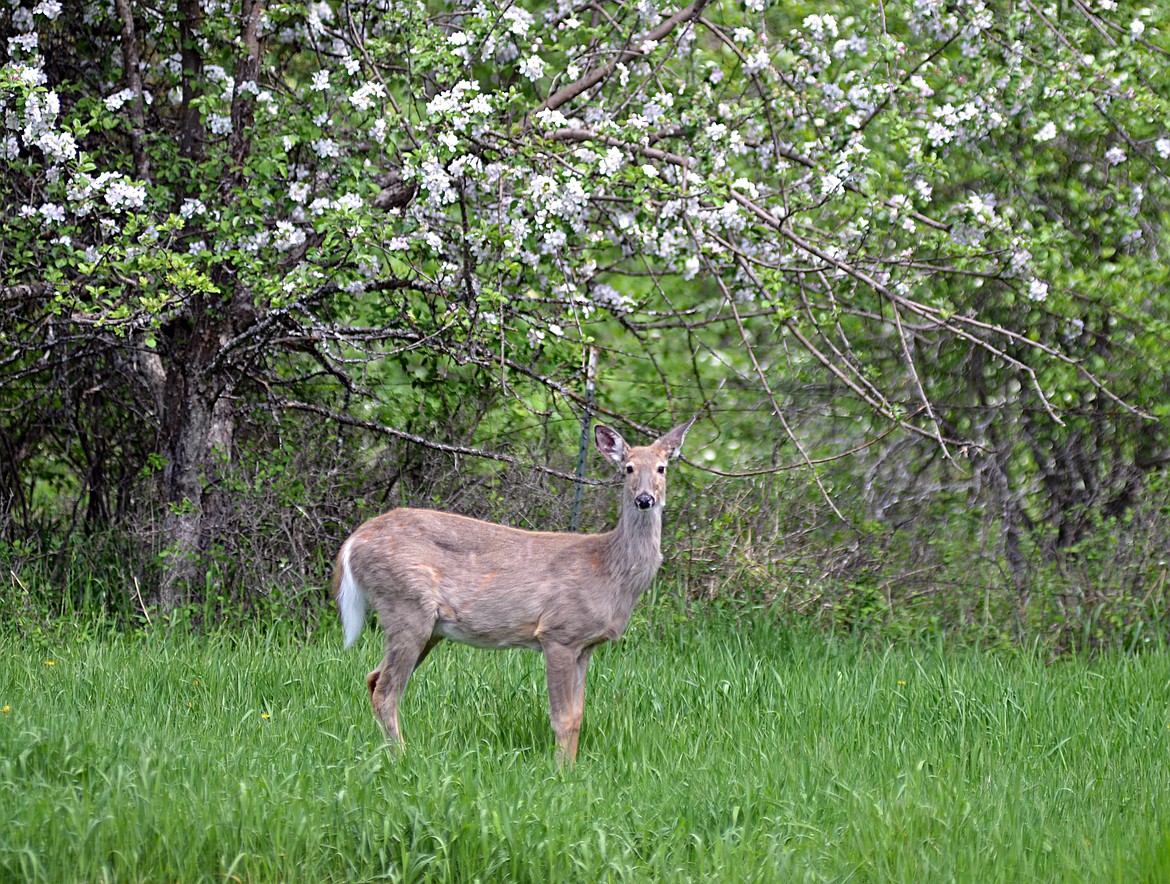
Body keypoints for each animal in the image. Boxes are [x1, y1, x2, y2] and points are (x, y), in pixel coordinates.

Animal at [329, 416, 692, 767]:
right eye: (628, 468)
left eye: (662, 467)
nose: (644, 499)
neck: (609, 570)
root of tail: (353, 541)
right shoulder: (558, 632)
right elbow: (561, 717)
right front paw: (560, 774)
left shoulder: (585, 645)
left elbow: (577, 717)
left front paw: (573, 771)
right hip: (406, 605)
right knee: (386, 691)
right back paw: (403, 760)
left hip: (428, 626)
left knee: (373, 678)